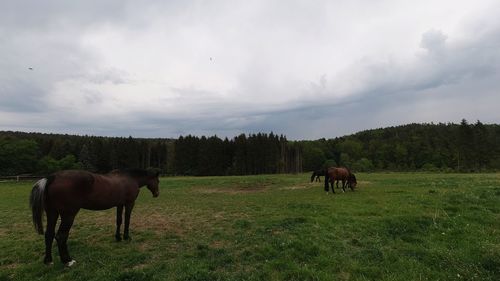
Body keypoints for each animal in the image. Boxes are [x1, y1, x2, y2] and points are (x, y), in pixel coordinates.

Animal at [29, 167, 158, 266]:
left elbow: (119, 220)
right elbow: (127, 220)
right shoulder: (129, 203)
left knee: (49, 234)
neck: (129, 178)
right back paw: (68, 261)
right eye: (158, 180)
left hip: (52, 213)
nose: (157, 194)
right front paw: (126, 237)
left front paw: (118, 237)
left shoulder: (119, 204)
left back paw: (48, 261)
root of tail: (52, 177)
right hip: (68, 215)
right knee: (61, 236)